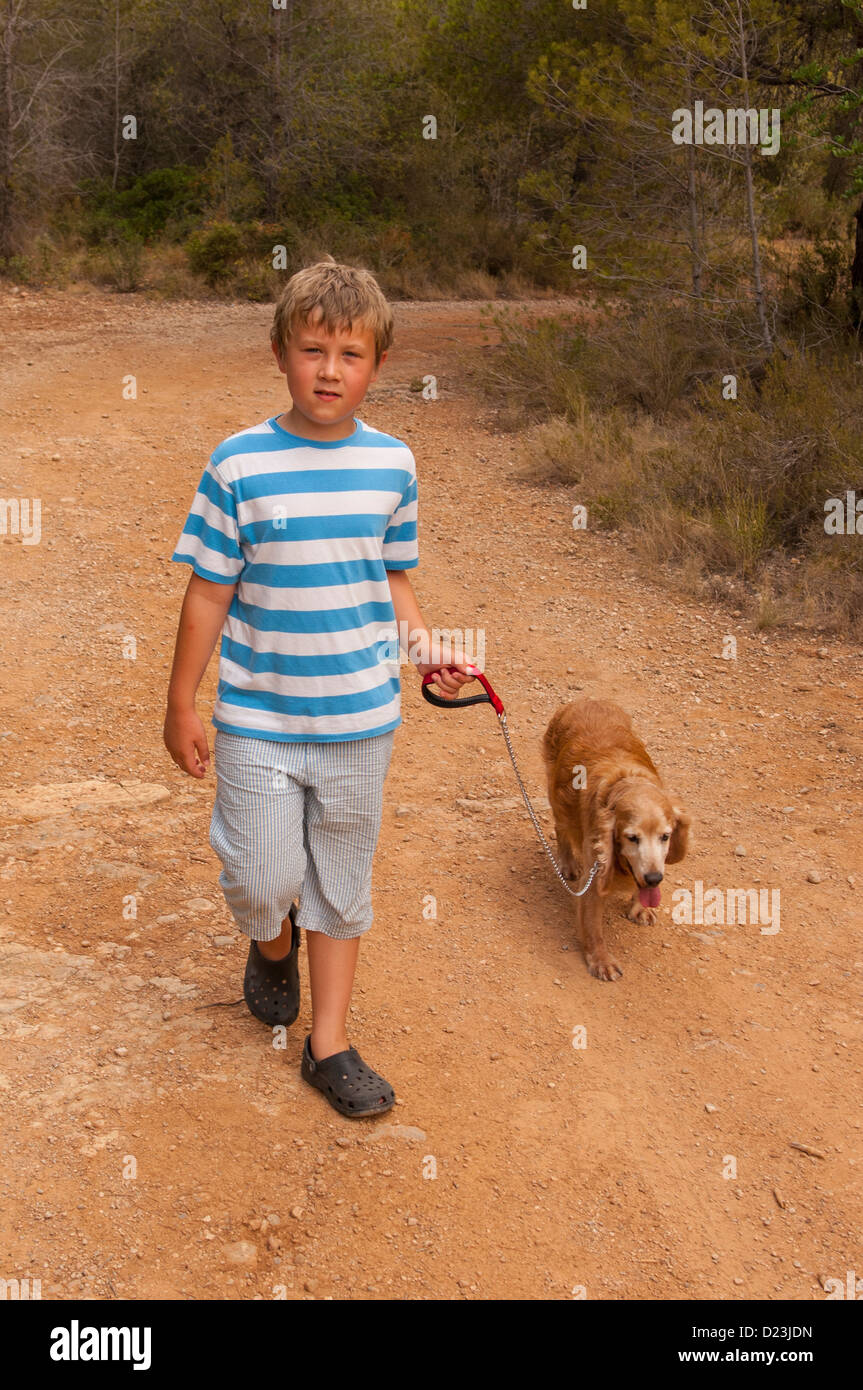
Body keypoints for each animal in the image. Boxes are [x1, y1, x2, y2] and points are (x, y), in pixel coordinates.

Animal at [541, 695, 689, 978]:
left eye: (665, 836)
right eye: (632, 838)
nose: (654, 878)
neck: (627, 782)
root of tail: (586, 699)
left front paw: (640, 907)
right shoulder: (593, 875)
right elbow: (593, 928)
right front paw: (601, 961)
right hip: (558, 797)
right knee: (561, 828)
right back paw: (567, 863)